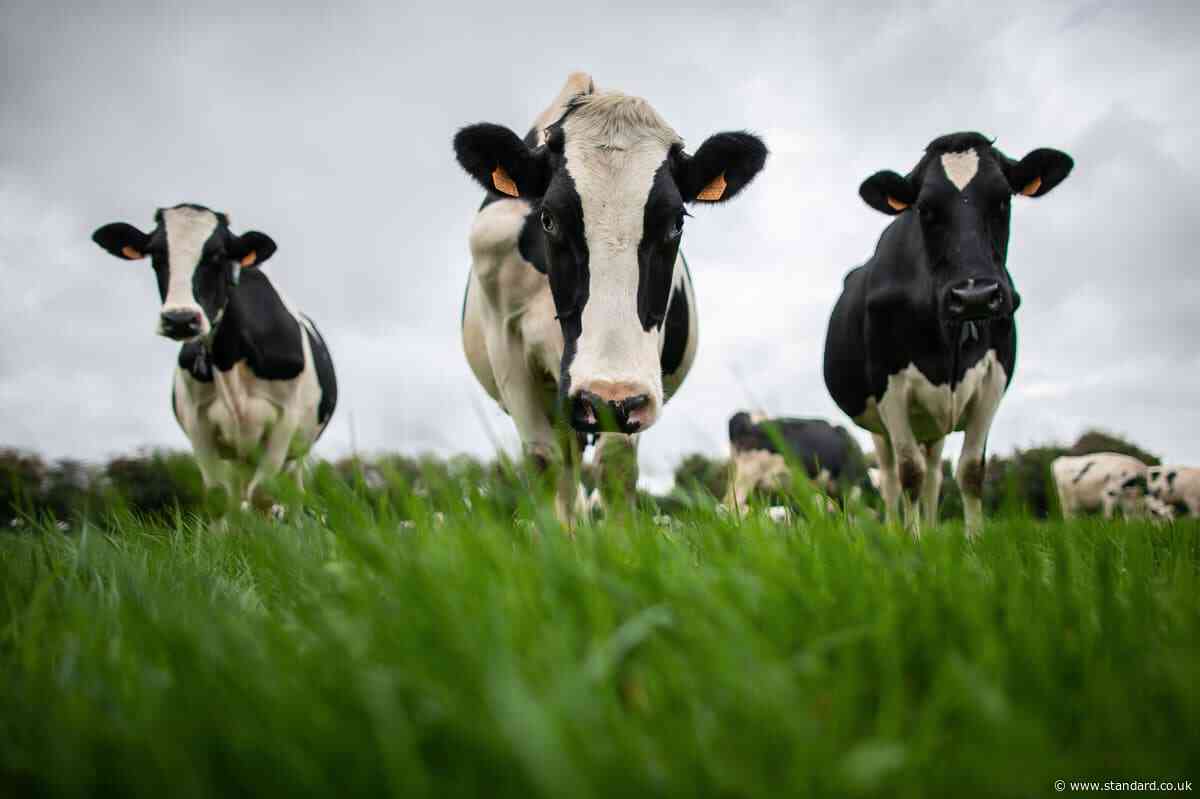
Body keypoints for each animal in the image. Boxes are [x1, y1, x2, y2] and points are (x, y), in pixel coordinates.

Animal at [91, 204, 337, 512]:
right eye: (156, 254)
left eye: (218, 255)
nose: (180, 319)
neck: (229, 357)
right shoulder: (198, 423)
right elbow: (219, 497)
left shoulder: (285, 420)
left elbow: (264, 495)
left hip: (296, 450)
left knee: (289, 494)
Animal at [455, 72, 767, 523]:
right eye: (548, 218)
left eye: (676, 222)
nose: (607, 396)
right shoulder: (507, 344)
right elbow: (543, 460)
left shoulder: (639, 371)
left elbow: (616, 465)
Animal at [823, 132, 1073, 535]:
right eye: (925, 209)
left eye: (1003, 199)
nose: (975, 295)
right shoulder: (888, 385)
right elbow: (909, 472)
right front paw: (911, 541)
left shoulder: (993, 379)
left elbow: (970, 471)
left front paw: (973, 541)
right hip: (879, 423)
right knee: (892, 476)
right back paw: (897, 529)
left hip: (934, 423)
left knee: (933, 474)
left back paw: (933, 530)